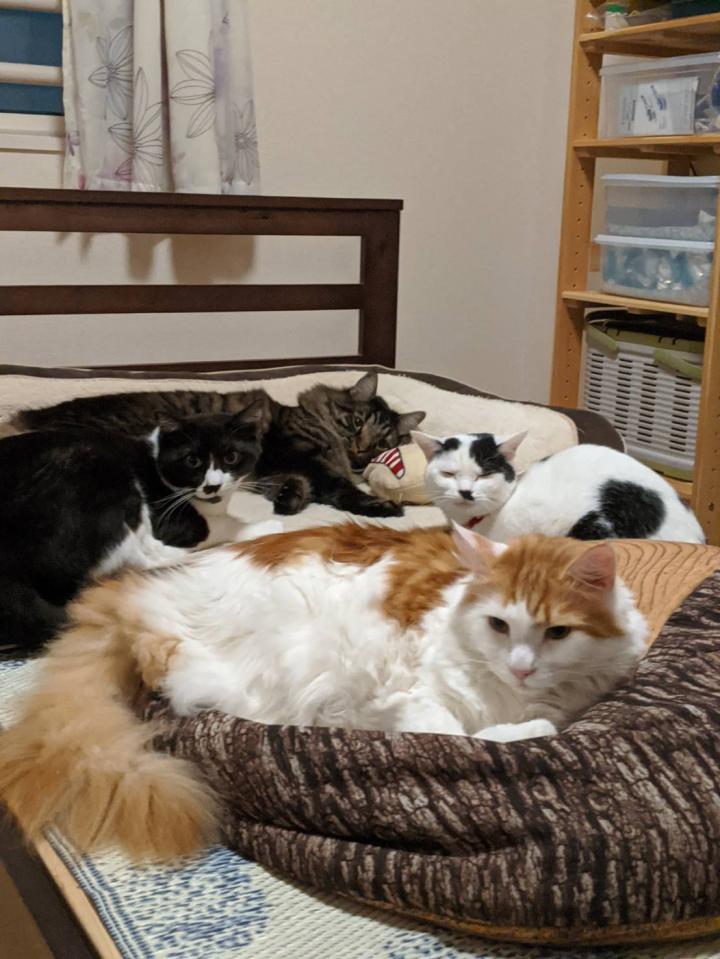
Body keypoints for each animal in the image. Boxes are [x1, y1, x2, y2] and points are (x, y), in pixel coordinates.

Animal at [0, 404, 270, 651]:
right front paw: (261, 525)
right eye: (192, 461)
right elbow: (218, 524)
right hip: (101, 478)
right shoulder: (170, 519)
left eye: (231, 457)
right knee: (132, 560)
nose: (213, 486)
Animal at [0, 523, 647, 861]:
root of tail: (134, 588)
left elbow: (519, 727)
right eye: (500, 625)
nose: (521, 668)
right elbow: (467, 735)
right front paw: (512, 730)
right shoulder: (418, 694)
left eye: (557, 633)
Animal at [12, 372, 426, 519]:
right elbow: (339, 488)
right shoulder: (299, 455)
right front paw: (380, 506)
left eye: (381, 444)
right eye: (355, 424)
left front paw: (289, 502)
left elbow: (292, 487)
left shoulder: (271, 470)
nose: (358, 451)